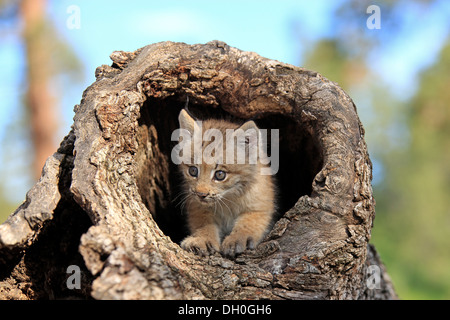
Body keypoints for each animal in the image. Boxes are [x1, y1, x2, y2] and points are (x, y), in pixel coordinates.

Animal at [175, 109, 274, 258]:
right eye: (193, 170)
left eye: (220, 175)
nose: (201, 194)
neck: (228, 199)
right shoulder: (196, 205)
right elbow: (204, 222)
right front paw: (203, 239)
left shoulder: (261, 206)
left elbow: (250, 222)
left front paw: (238, 239)